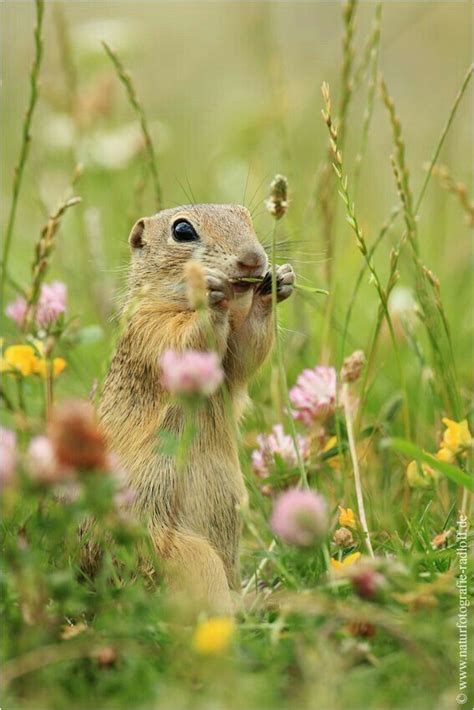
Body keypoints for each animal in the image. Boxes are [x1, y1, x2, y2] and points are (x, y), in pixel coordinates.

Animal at [98, 203, 294, 616]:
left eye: (245, 216)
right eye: (183, 231)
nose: (254, 259)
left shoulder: (232, 358)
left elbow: (245, 352)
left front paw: (278, 283)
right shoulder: (150, 330)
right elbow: (185, 344)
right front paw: (210, 291)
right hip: (187, 554)